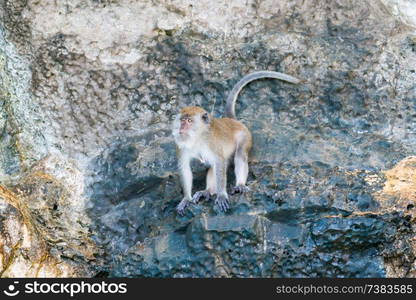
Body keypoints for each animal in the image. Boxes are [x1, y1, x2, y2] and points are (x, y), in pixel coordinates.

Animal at [171, 71, 300, 214]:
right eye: (182, 120)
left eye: (189, 121)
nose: (181, 128)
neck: (197, 138)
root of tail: (232, 120)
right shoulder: (180, 146)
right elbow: (185, 168)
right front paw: (186, 199)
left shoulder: (213, 143)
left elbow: (219, 163)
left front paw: (222, 195)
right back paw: (208, 191)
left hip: (245, 135)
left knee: (239, 155)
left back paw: (240, 184)